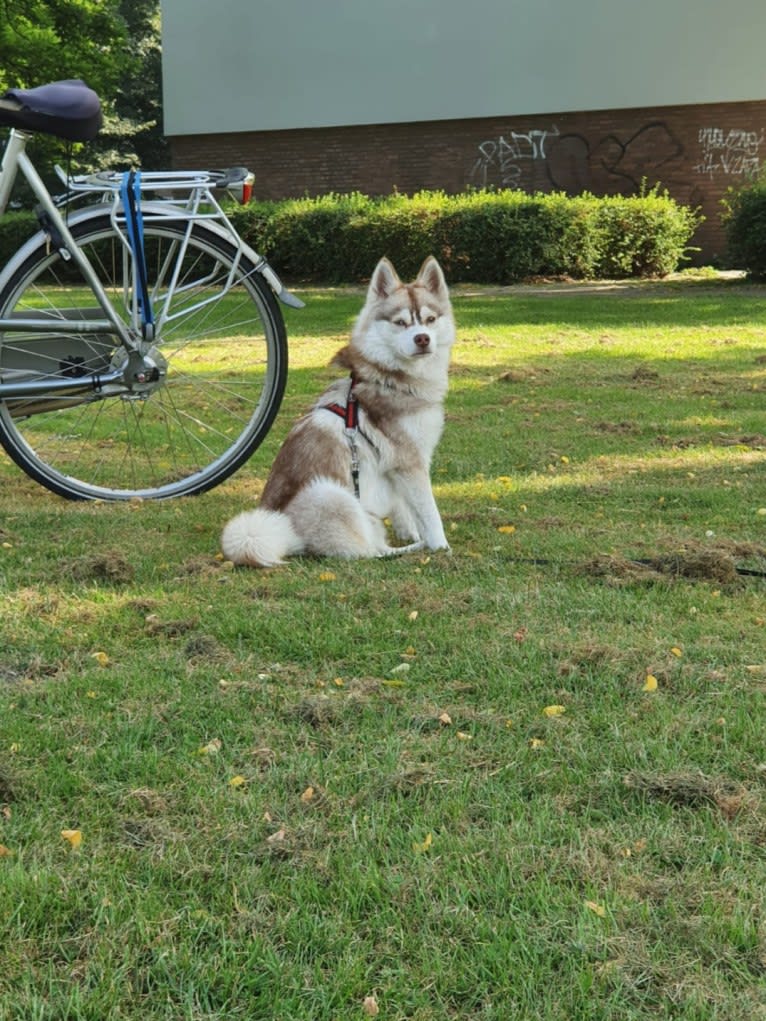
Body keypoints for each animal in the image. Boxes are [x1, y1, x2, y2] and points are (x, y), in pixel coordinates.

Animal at [221, 254, 459, 567]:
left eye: (430, 320)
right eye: (401, 323)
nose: (422, 339)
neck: (392, 378)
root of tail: (287, 537)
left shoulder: (395, 468)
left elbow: (405, 509)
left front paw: (411, 533)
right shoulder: (411, 462)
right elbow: (429, 513)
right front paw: (440, 546)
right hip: (331, 493)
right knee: (368, 552)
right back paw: (410, 549)